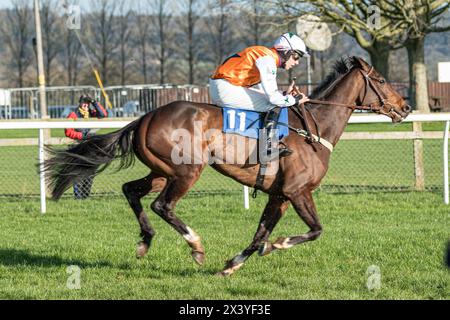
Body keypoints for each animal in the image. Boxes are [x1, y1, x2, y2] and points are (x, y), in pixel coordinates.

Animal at [44, 57, 410, 276]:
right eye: (380, 79)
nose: (405, 107)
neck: (313, 130)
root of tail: (145, 117)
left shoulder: (279, 195)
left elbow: (260, 232)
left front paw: (233, 265)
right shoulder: (297, 191)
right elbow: (315, 230)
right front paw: (276, 246)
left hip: (162, 171)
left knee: (131, 191)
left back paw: (145, 240)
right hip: (187, 170)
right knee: (162, 205)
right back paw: (195, 245)